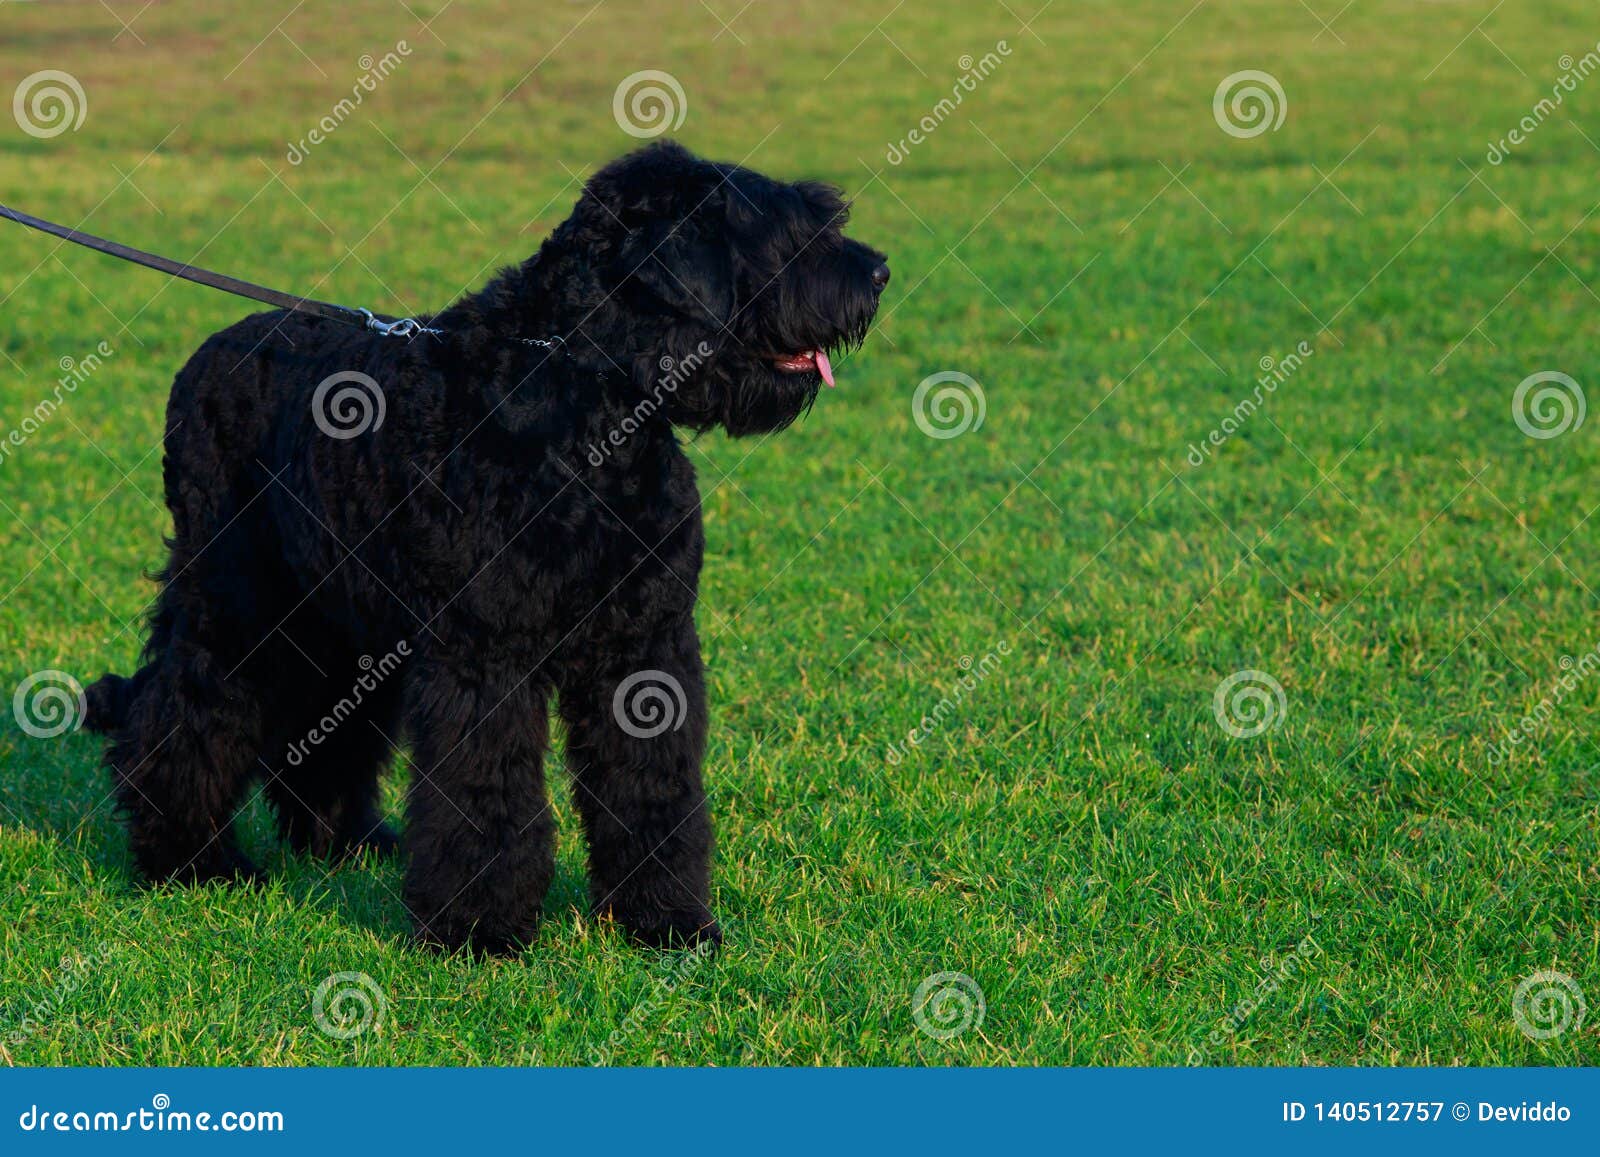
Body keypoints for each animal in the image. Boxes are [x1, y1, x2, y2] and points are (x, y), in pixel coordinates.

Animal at [84, 142, 889, 960]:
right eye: (783, 232)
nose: (879, 272)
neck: (589, 403)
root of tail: (202, 362)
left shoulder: (643, 643)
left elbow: (652, 786)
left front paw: (666, 921)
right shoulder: (486, 651)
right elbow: (485, 788)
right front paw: (478, 929)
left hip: (342, 623)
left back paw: (348, 840)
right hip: (235, 600)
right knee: (184, 712)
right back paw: (193, 860)